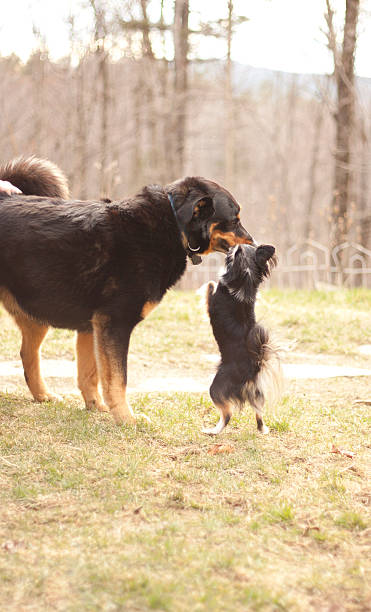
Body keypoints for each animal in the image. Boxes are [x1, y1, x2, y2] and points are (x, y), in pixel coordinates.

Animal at [0, 157, 256, 426]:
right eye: (235, 219)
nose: (256, 245)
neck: (173, 225)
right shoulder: (115, 323)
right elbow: (117, 378)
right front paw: (126, 418)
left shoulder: (93, 326)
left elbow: (91, 374)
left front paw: (97, 407)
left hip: (37, 314)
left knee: (28, 354)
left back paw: (43, 396)